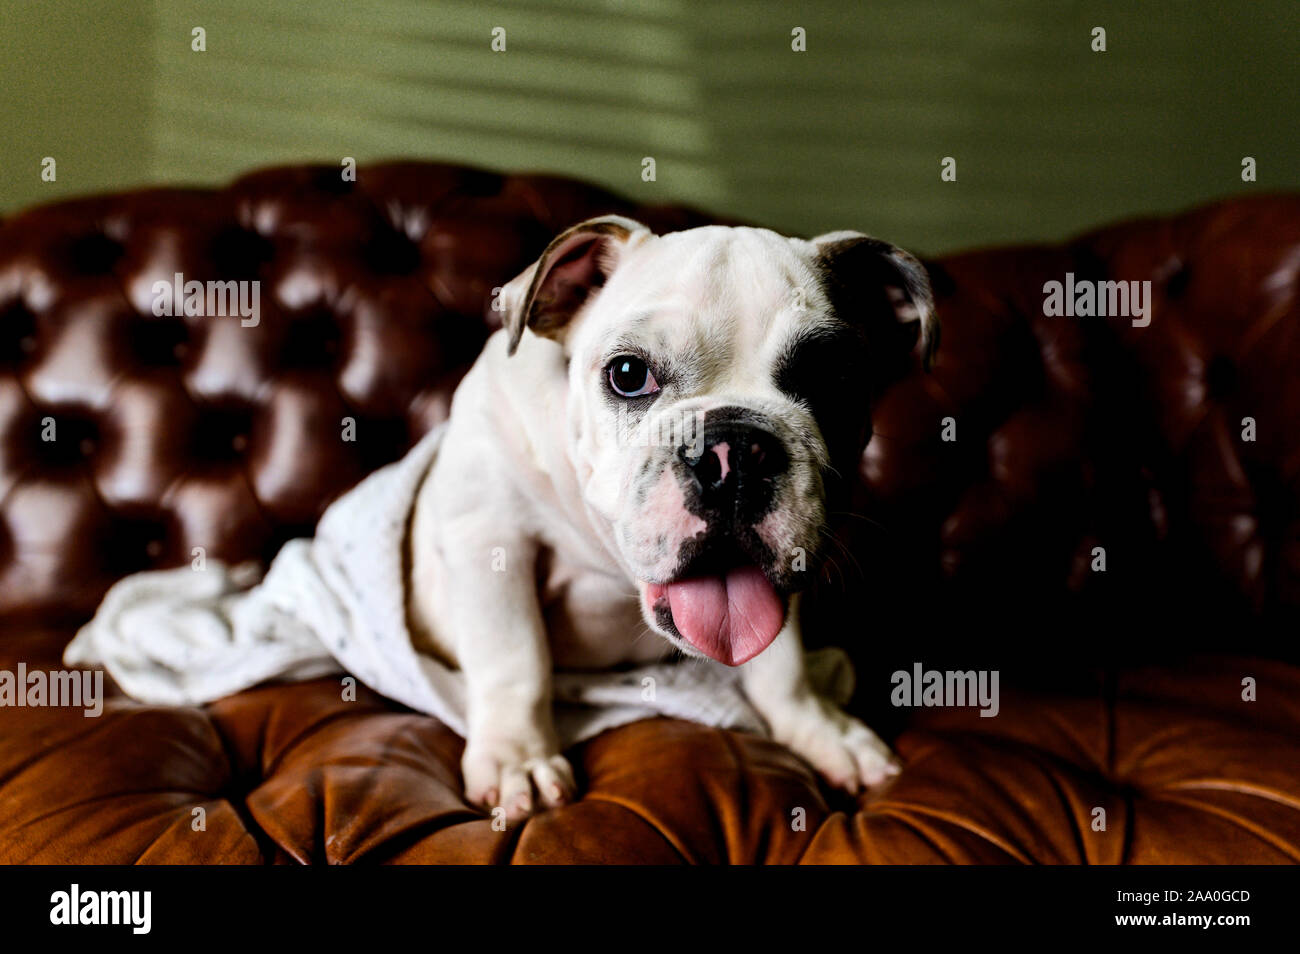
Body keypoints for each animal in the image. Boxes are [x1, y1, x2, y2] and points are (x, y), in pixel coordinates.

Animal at [405, 214, 935, 821]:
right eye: (628, 374)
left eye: (832, 380)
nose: (736, 452)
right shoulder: (491, 539)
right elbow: (515, 658)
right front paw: (519, 759)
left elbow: (783, 666)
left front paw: (820, 729)